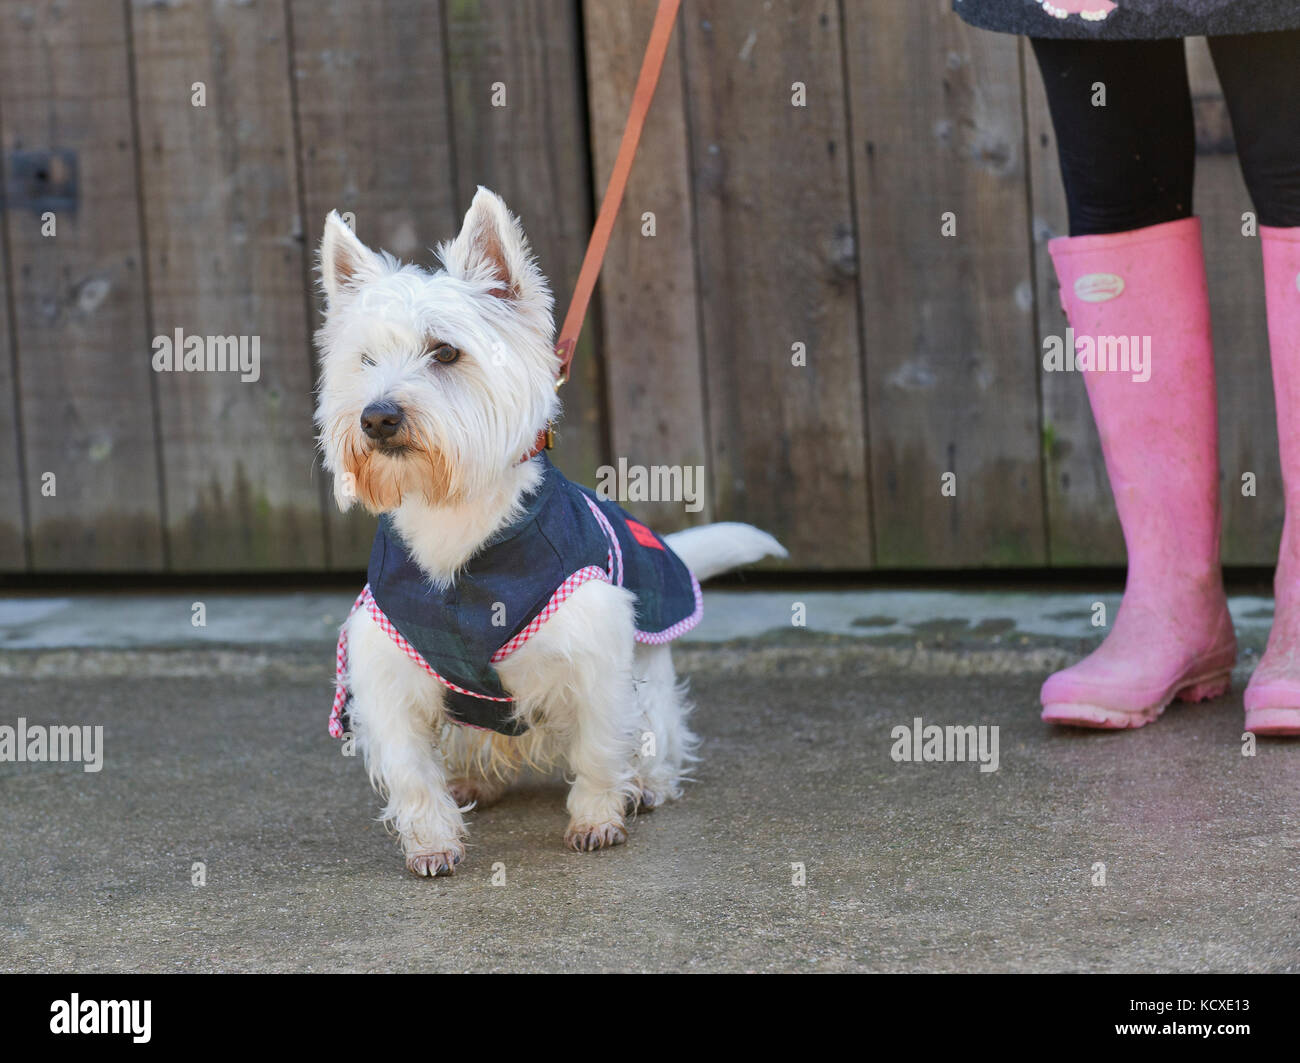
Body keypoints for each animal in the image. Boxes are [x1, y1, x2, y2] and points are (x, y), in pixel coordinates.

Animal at [317, 188, 780, 868]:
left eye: (445, 351)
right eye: (366, 360)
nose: (376, 418)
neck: (456, 518)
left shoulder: (594, 648)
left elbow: (599, 744)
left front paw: (597, 817)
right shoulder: (387, 662)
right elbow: (409, 768)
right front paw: (431, 842)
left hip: (652, 678)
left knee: (659, 733)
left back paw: (647, 786)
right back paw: (470, 782)